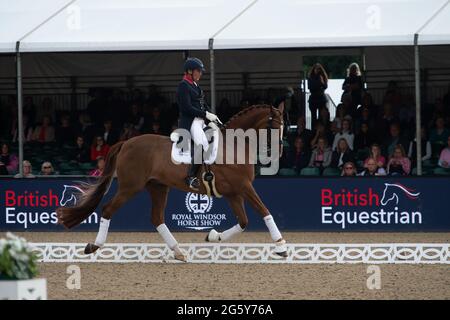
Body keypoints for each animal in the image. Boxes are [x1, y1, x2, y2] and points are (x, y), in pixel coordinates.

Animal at [57, 104, 288, 262]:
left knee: (157, 218)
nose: (280, 152)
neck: (234, 145)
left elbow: (243, 222)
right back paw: (93, 246)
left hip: (157, 187)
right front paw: (281, 247)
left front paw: (213, 236)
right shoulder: (244, 187)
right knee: (107, 209)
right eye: (274, 126)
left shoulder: (234, 193)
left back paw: (178, 252)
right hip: (130, 187)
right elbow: (265, 212)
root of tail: (126, 142)